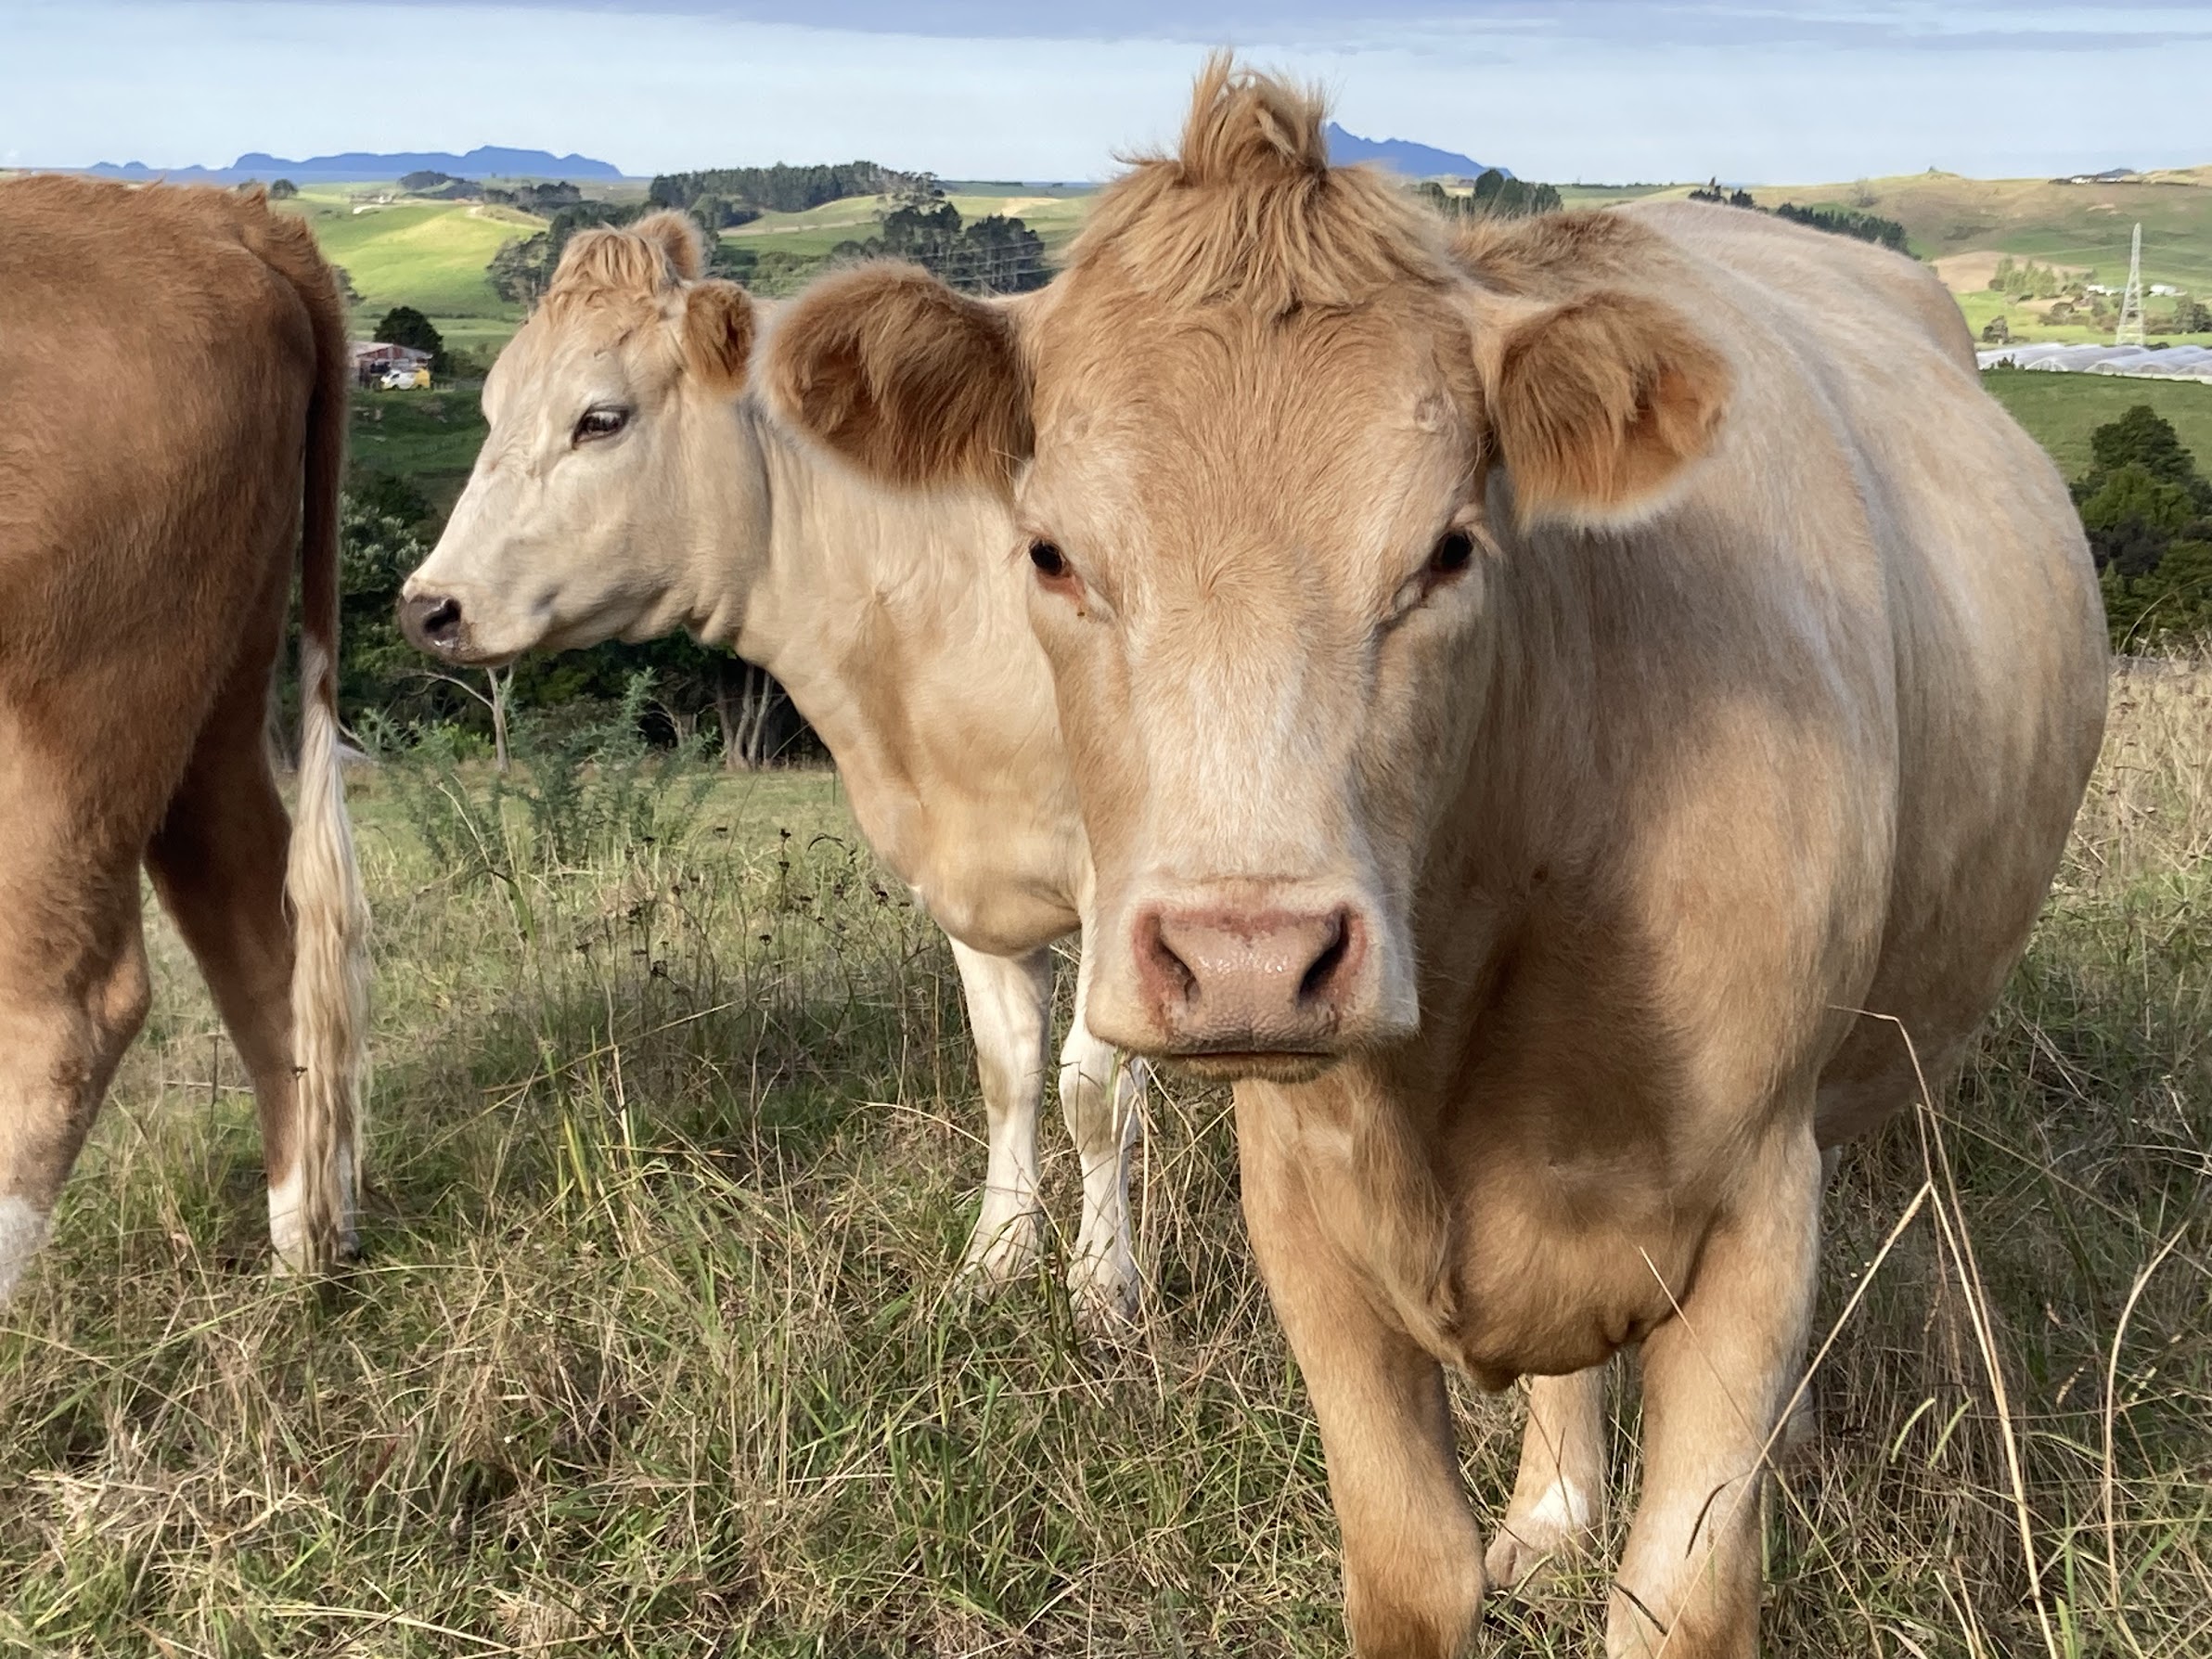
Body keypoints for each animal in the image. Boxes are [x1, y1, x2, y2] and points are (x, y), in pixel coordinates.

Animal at [0, 175, 367, 1302]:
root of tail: (211, 214)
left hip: (80, 699)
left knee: (67, 1006)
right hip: (212, 691)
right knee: (261, 926)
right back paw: (310, 1244)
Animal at [394, 214, 1147, 1319]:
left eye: (600, 420)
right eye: (490, 411)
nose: (427, 607)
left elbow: (1093, 1091)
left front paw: (1102, 1293)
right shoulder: (962, 870)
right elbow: (1005, 1070)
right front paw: (994, 1261)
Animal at [757, 60, 2108, 1659]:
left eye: (1452, 549)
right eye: (1050, 554)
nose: (1249, 960)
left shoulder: (1757, 1205)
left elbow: (1679, 1600)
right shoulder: (1305, 1215)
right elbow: (1409, 1570)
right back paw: (1554, 1515)